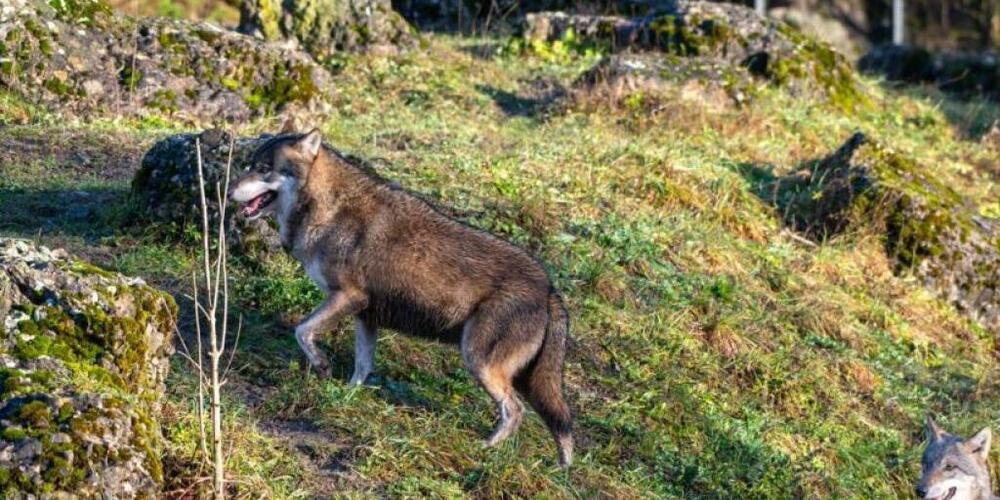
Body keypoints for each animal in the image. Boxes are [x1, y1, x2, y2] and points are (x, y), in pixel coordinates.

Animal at [228, 127, 574, 466]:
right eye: (249, 165)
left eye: (263, 169)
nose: (229, 193)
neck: (329, 208)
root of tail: (549, 288)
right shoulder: (365, 315)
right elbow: (362, 367)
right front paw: (346, 397)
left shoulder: (347, 298)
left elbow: (301, 331)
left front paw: (322, 365)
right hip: (518, 375)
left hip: (480, 362)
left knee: (515, 411)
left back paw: (486, 449)